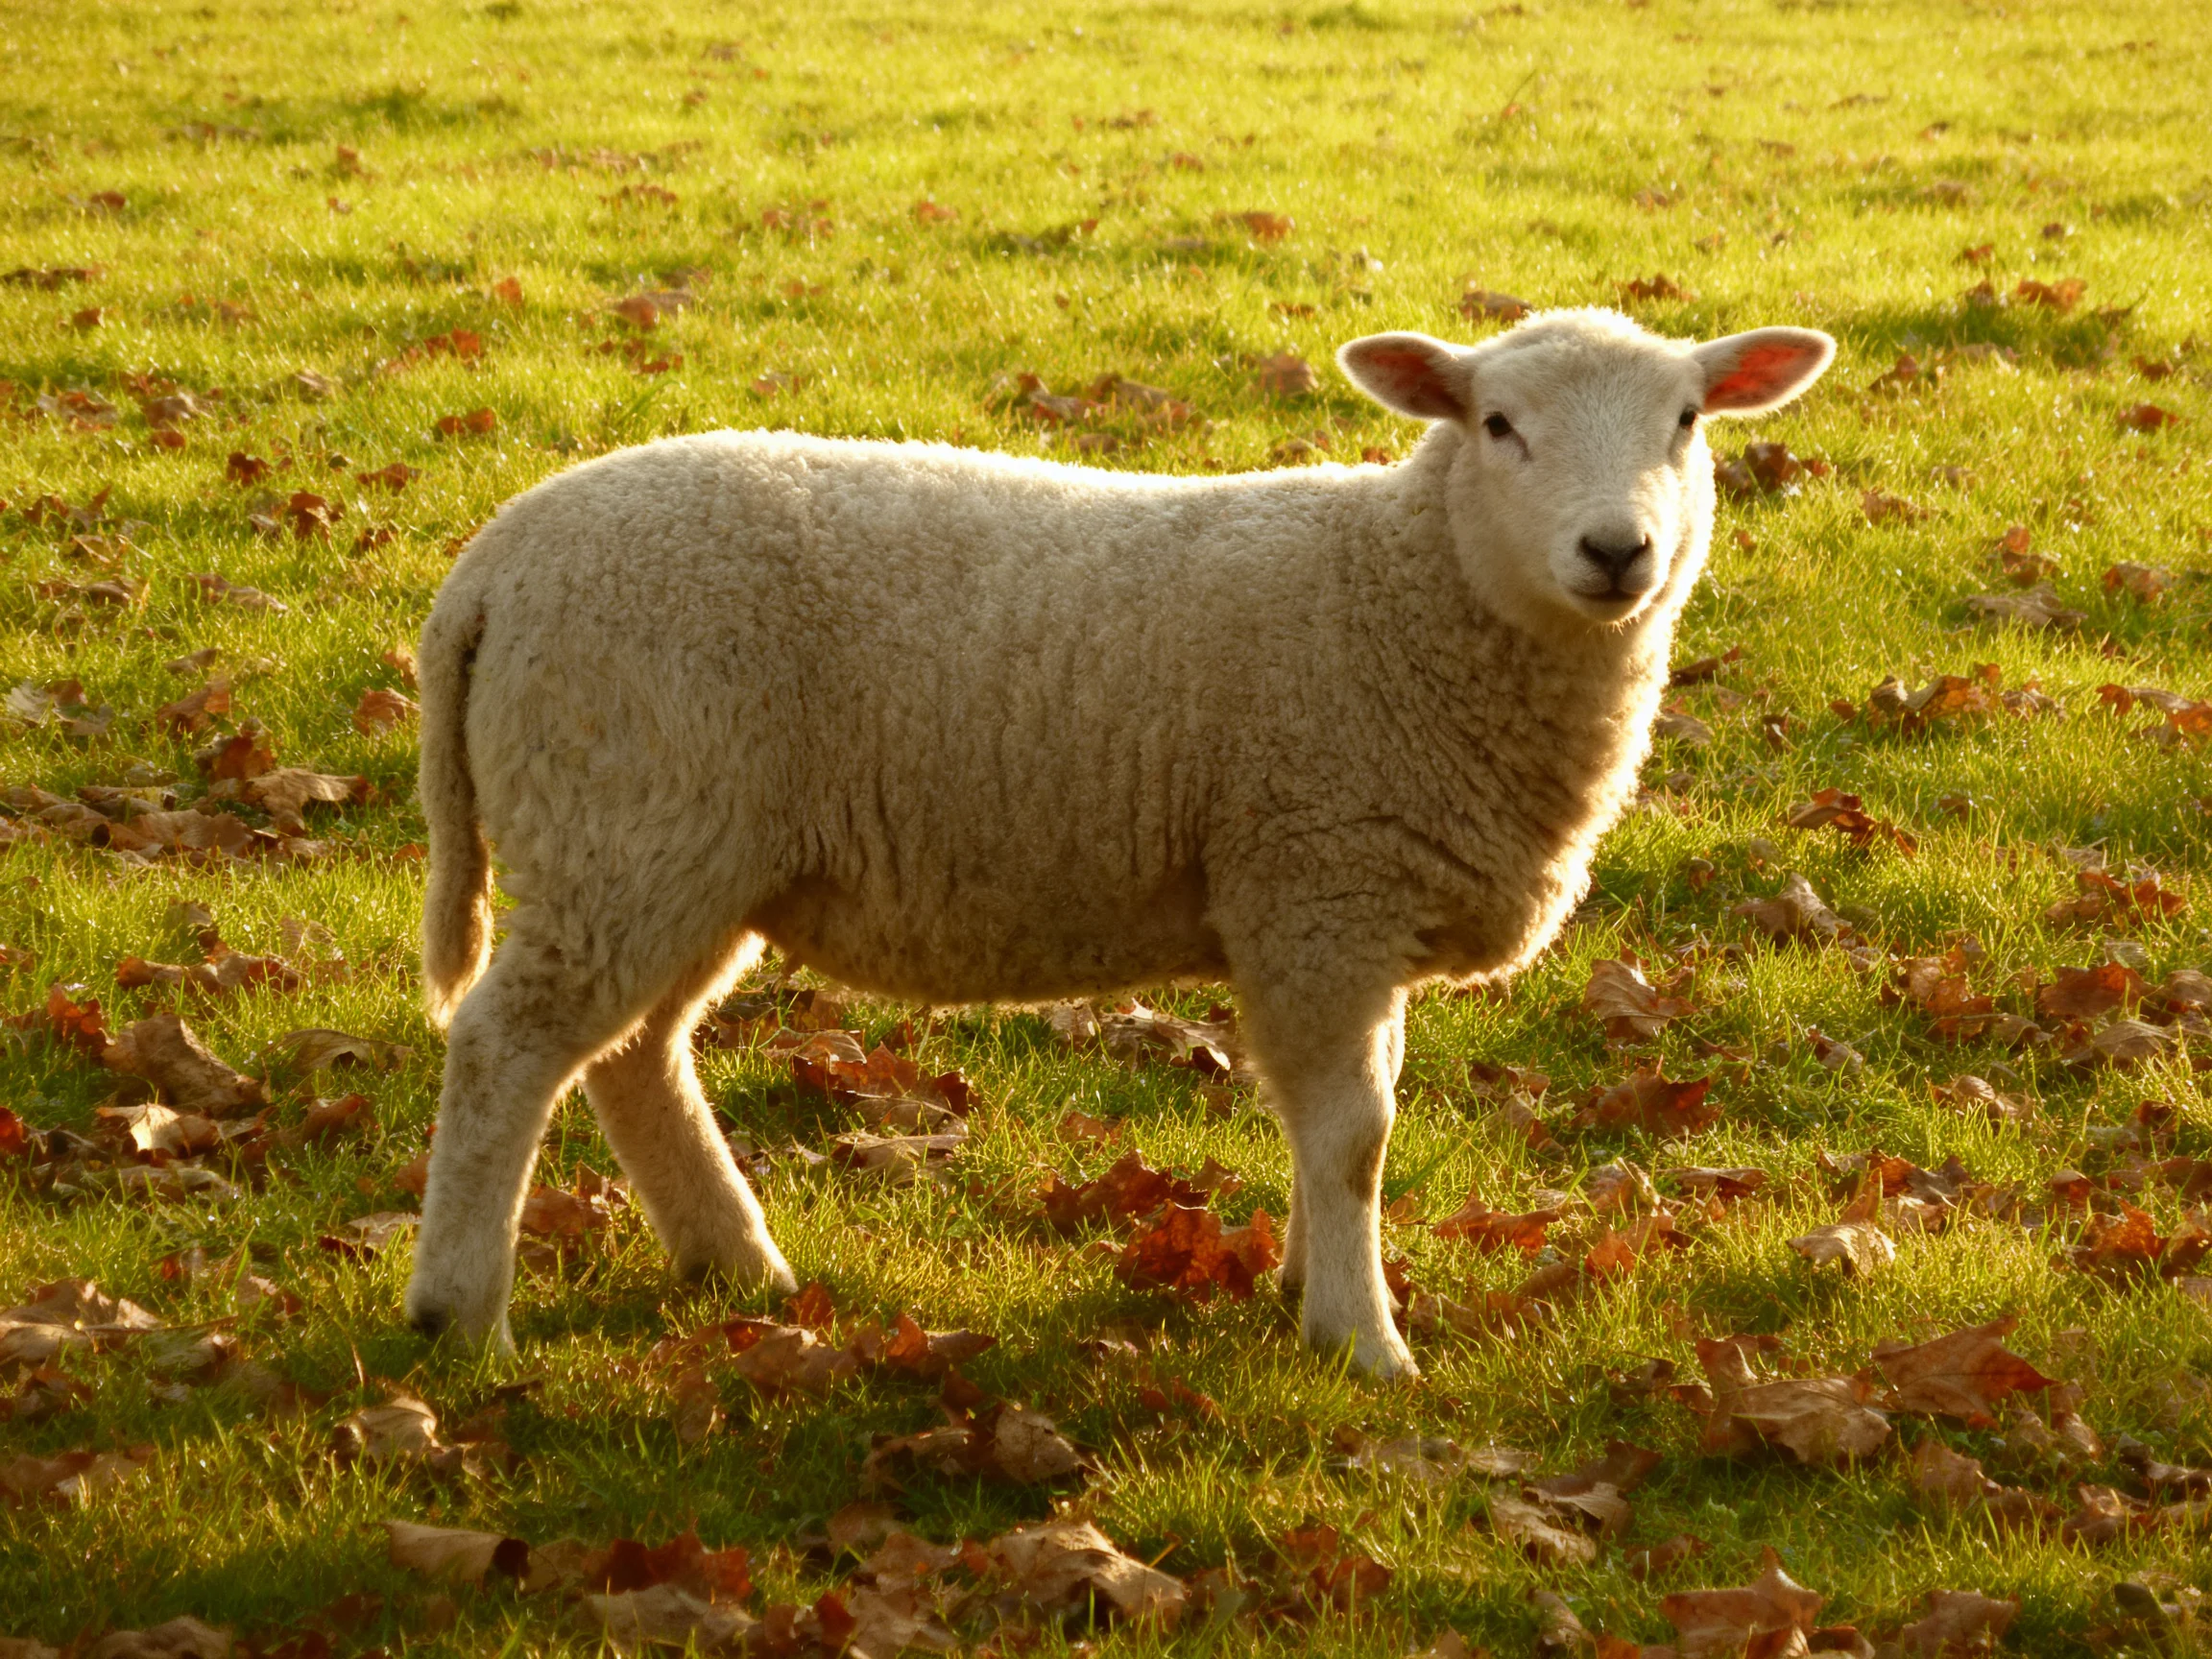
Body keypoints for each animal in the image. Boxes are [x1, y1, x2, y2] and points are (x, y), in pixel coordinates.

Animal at [403, 306, 1834, 1377]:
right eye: (1498, 424)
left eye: (1688, 422)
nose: (1618, 550)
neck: (1402, 591)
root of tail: (493, 565)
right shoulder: (1315, 884)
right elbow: (1355, 1129)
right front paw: (1361, 1339)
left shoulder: (1341, 908)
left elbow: (1339, 1115)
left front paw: (1307, 1284)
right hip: (628, 812)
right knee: (508, 1048)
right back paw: (461, 1313)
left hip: (674, 847)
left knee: (635, 1056)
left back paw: (735, 1262)